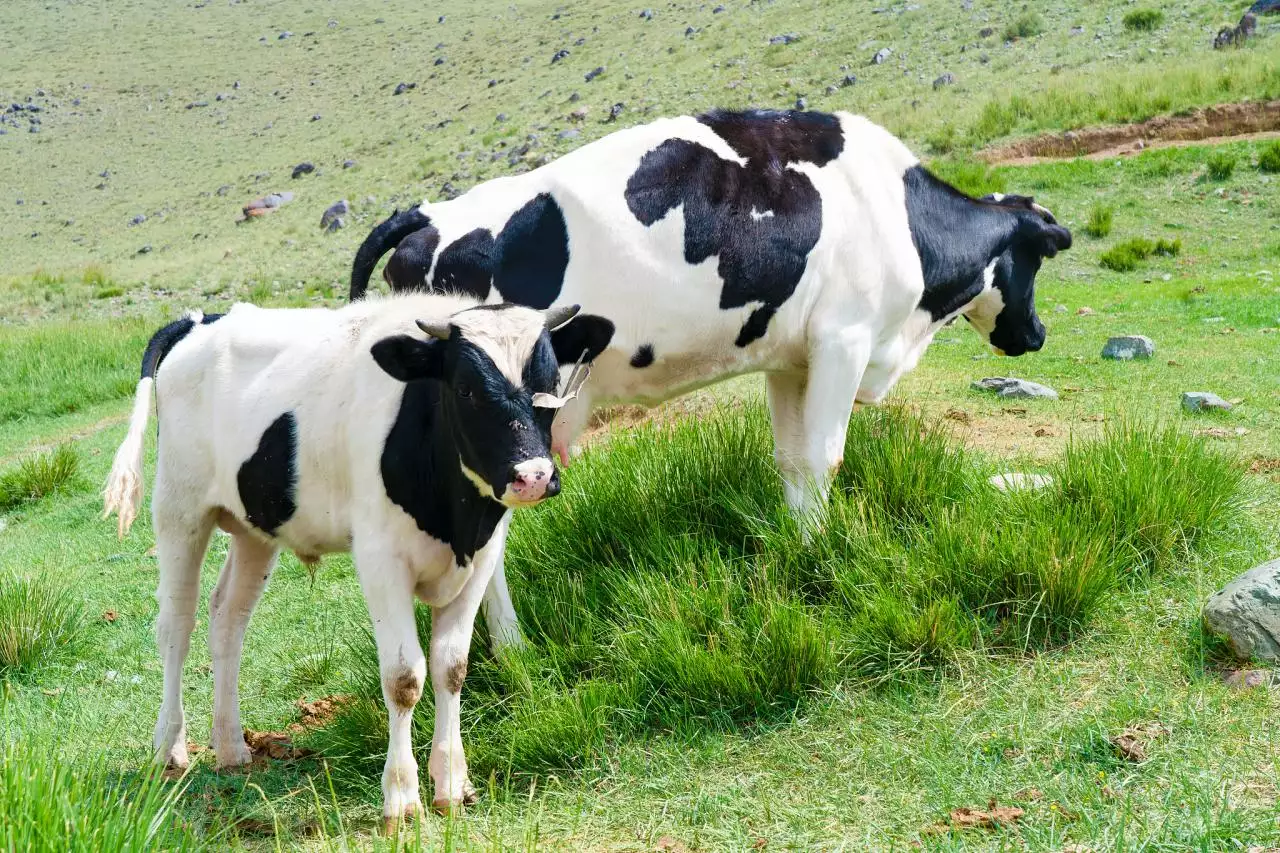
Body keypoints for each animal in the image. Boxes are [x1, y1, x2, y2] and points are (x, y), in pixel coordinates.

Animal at [103, 294, 588, 829]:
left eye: (551, 382)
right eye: (465, 388)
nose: (533, 476)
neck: (455, 513)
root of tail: (201, 320)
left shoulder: (481, 557)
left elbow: (452, 667)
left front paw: (452, 784)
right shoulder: (380, 559)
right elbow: (404, 677)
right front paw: (402, 797)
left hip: (254, 528)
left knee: (227, 617)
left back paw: (230, 744)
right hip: (179, 509)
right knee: (176, 624)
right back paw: (169, 746)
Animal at [348, 106, 1070, 650]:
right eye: (1037, 257)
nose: (1035, 334)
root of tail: (429, 214)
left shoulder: (791, 357)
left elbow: (791, 461)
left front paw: (800, 547)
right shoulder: (844, 338)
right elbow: (824, 457)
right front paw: (824, 554)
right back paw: (513, 647)